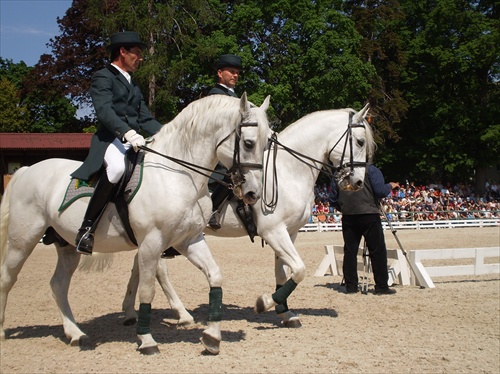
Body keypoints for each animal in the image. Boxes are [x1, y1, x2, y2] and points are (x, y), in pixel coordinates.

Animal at [0, 93, 272, 354]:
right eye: (248, 143)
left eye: (267, 142)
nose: (253, 193)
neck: (176, 175)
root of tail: (25, 170)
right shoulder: (152, 242)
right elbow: (147, 289)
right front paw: (147, 339)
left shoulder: (188, 240)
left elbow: (215, 276)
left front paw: (212, 337)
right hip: (23, 240)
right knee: (7, 278)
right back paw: (4, 331)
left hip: (66, 246)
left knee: (58, 285)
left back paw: (76, 334)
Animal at [119, 103, 374, 328]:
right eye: (360, 141)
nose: (358, 182)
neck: (288, 170)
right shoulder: (274, 231)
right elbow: (299, 269)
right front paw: (265, 303)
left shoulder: (289, 233)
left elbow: (284, 273)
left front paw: (285, 313)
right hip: (163, 233)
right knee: (158, 269)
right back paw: (180, 314)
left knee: (141, 264)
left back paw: (131, 312)